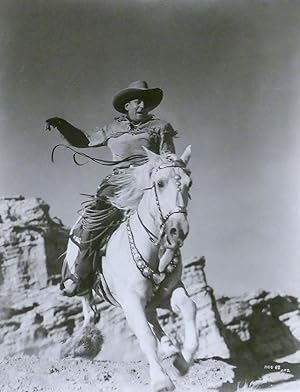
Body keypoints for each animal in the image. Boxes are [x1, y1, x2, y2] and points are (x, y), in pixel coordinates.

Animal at [64, 146, 198, 392]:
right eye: (160, 183)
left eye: (189, 183)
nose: (178, 230)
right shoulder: (131, 300)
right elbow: (145, 335)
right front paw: (161, 380)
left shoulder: (170, 290)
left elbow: (189, 307)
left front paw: (184, 362)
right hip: (78, 280)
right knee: (88, 307)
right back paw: (82, 342)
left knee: (153, 316)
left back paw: (171, 349)